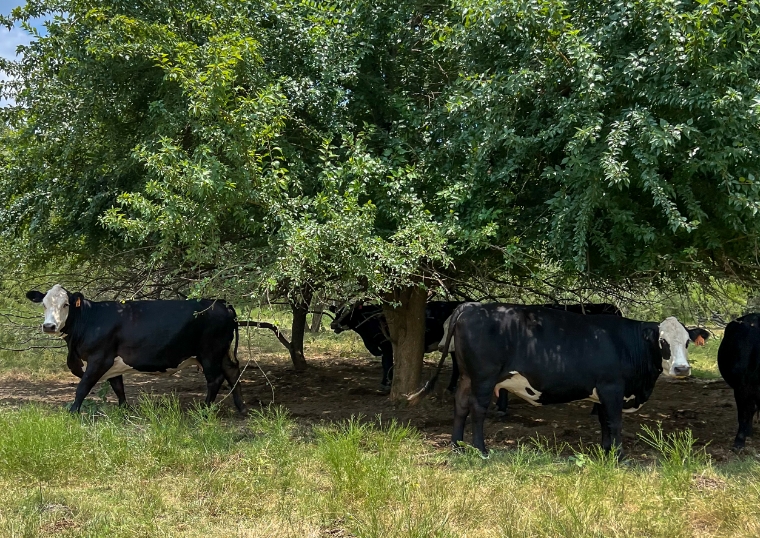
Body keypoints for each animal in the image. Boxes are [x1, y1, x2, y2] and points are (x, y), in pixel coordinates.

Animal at [26, 282, 245, 412]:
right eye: (44, 304)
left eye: (65, 305)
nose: (49, 326)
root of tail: (222, 303)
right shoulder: (112, 362)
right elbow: (118, 387)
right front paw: (124, 410)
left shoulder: (99, 359)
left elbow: (83, 387)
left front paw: (72, 412)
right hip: (221, 352)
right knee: (232, 372)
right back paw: (241, 407)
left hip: (209, 353)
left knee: (215, 379)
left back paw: (205, 409)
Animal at [330, 302, 460, 390]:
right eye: (337, 312)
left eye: (348, 311)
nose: (333, 324)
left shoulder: (386, 344)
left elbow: (387, 362)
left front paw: (386, 384)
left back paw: (451, 387)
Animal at [410, 300, 708, 454]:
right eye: (662, 342)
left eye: (687, 342)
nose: (682, 369)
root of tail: (472, 306)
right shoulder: (612, 388)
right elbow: (615, 422)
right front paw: (618, 455)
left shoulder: (602, 393)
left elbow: (604, 423)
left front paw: (604, 451)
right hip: (484, 378)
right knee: (477, 408)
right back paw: (481, 449)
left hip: (466, 376)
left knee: (460, 405)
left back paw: (457, 446)